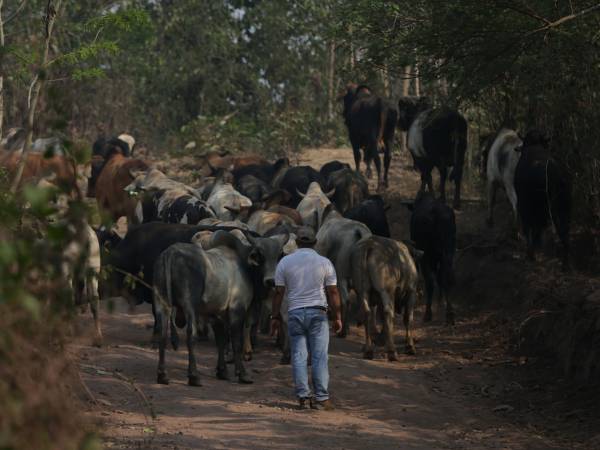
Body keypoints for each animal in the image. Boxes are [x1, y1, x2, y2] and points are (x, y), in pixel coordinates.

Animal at [154, 232, 288, 386]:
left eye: (279, 255)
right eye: (260, 255)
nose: (271, 281)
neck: (244, 264)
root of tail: (171, 252)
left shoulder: (216, 315)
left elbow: (221, 341)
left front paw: (222, 371)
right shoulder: (237, 309)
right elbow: (236, 342)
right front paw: (242, 374)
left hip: (161, 302)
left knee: (162, 333)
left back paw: (162, 375)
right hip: (189, 306)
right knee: (190, 335)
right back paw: (194, 376)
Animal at [406, 192, 458, 326]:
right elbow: (440, 278)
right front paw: (441, 303)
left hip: (427, 255)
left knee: (430, 281)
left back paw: (428, 314)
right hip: (448, 251)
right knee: (446, 278)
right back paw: (450, 314)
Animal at [510, 128, 572, 268]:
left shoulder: (524, 205)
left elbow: (529, 227)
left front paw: (531, 253)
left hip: (545, 208)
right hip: (564, 207)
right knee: (565, 231)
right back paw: (565, 264)